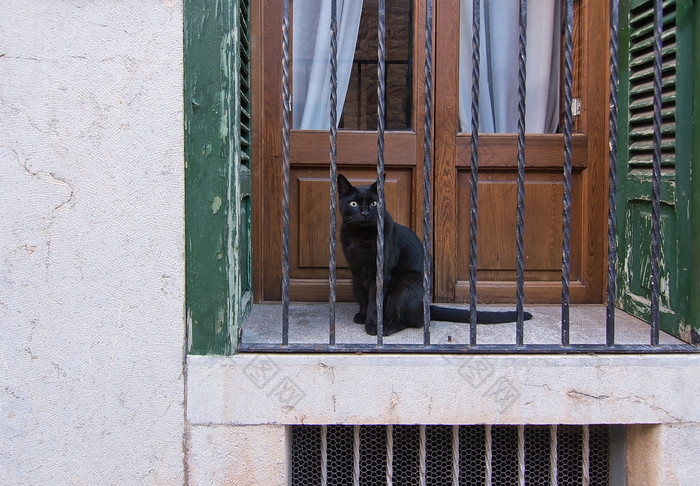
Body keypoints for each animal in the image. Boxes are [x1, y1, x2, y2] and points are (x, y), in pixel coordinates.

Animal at [338, 173, 532, 336]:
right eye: (353, 204)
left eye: (374, 204)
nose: (365, 212)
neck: (360, 237)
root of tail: (428, 306)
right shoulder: (357, 272)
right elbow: (364, 297)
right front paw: (362, 315)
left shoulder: (381, 273)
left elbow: (375, 301)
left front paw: (372, 324)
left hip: (406, 283)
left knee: (412, 320)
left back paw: (387, 328)